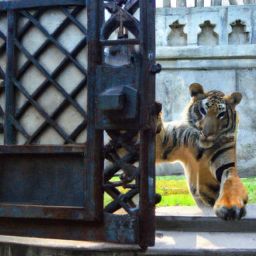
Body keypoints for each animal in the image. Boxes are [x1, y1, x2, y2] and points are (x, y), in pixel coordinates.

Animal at [154, 82, 248, 220]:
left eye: (221, 114)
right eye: (203, 110)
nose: (207, 134)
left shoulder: (226, 166)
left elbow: (230, 182)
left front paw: (230, 206)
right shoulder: (167, 142)